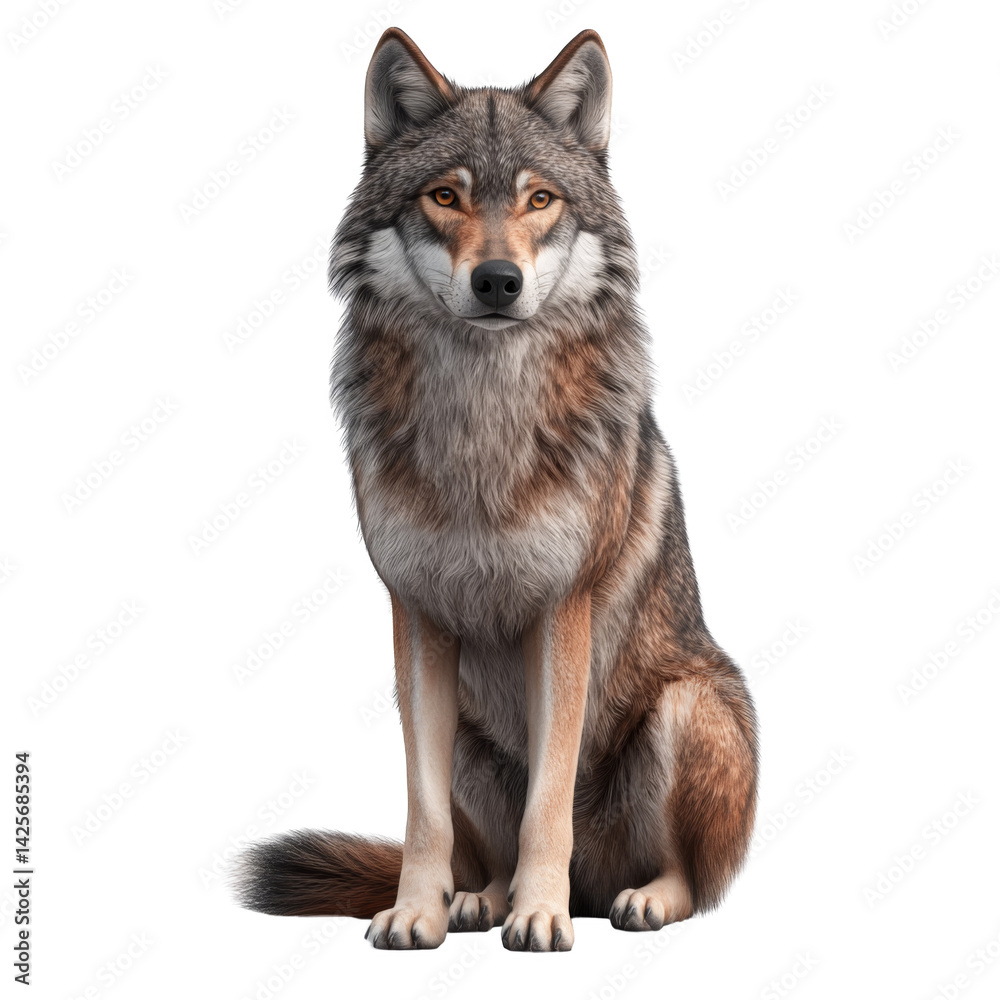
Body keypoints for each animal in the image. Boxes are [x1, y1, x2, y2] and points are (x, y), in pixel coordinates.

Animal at [236, 27, 758, 952]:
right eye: (445, 196)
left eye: (539, 199)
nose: (497, 282)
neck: (482, 426)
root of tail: (600, 883)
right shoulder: (417, 620)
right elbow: (422, 811)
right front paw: (417, 911)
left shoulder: (562, 614)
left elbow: (549, 801)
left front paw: (540, 916)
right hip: (472, 743)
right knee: (486, 850)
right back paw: (480, 899)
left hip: (685, 705)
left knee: (695, 880)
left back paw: (629, 899)